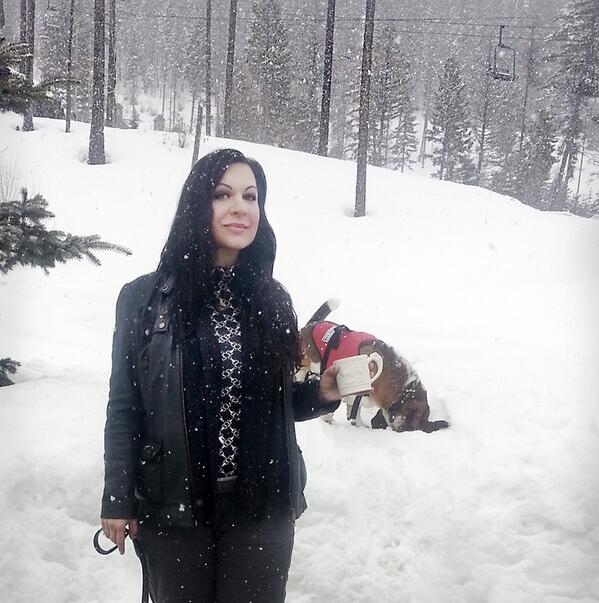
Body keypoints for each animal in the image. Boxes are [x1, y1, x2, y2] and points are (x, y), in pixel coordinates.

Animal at [298, 299, 449, 434]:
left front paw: (359, 425)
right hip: (304, 365)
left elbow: (354, 411)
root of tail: (311, 324)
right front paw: (328, 421)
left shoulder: (357, 398)